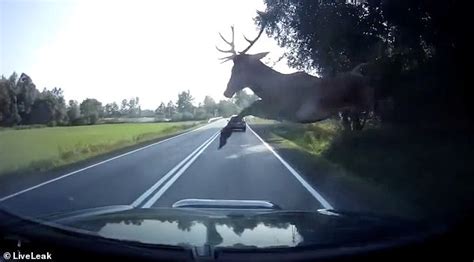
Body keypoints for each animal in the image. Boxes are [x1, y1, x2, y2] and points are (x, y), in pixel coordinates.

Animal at [216, 25, 374, 148]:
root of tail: (360, 73)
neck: (268, 90)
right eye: (231, 69)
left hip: (363, 102)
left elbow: (247, 109)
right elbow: (246, 109)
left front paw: (224, 135)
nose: (226, 92)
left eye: (239, 69)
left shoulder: (283, 109)